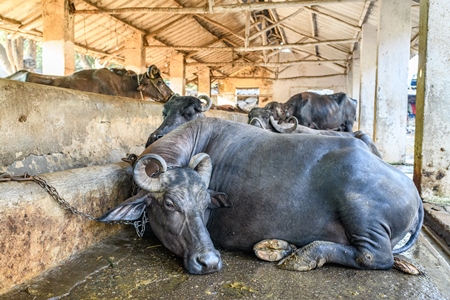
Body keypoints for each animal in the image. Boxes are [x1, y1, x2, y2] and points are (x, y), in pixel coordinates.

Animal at [98, 118, 422, 276]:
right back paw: (278, 248)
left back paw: (302, 257)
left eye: (205, 205)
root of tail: (413, 192)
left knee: (374, 256)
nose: (209, 261)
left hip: (363, 214)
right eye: (169, 204)